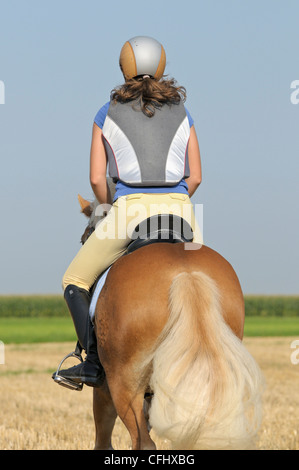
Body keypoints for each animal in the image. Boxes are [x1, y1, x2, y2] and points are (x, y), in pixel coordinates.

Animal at [77, 193, 262, 450]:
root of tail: (187, 274)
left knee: (143, 442)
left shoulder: (104, 386)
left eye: (86, 235)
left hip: (123, 382)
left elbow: (103, 438)